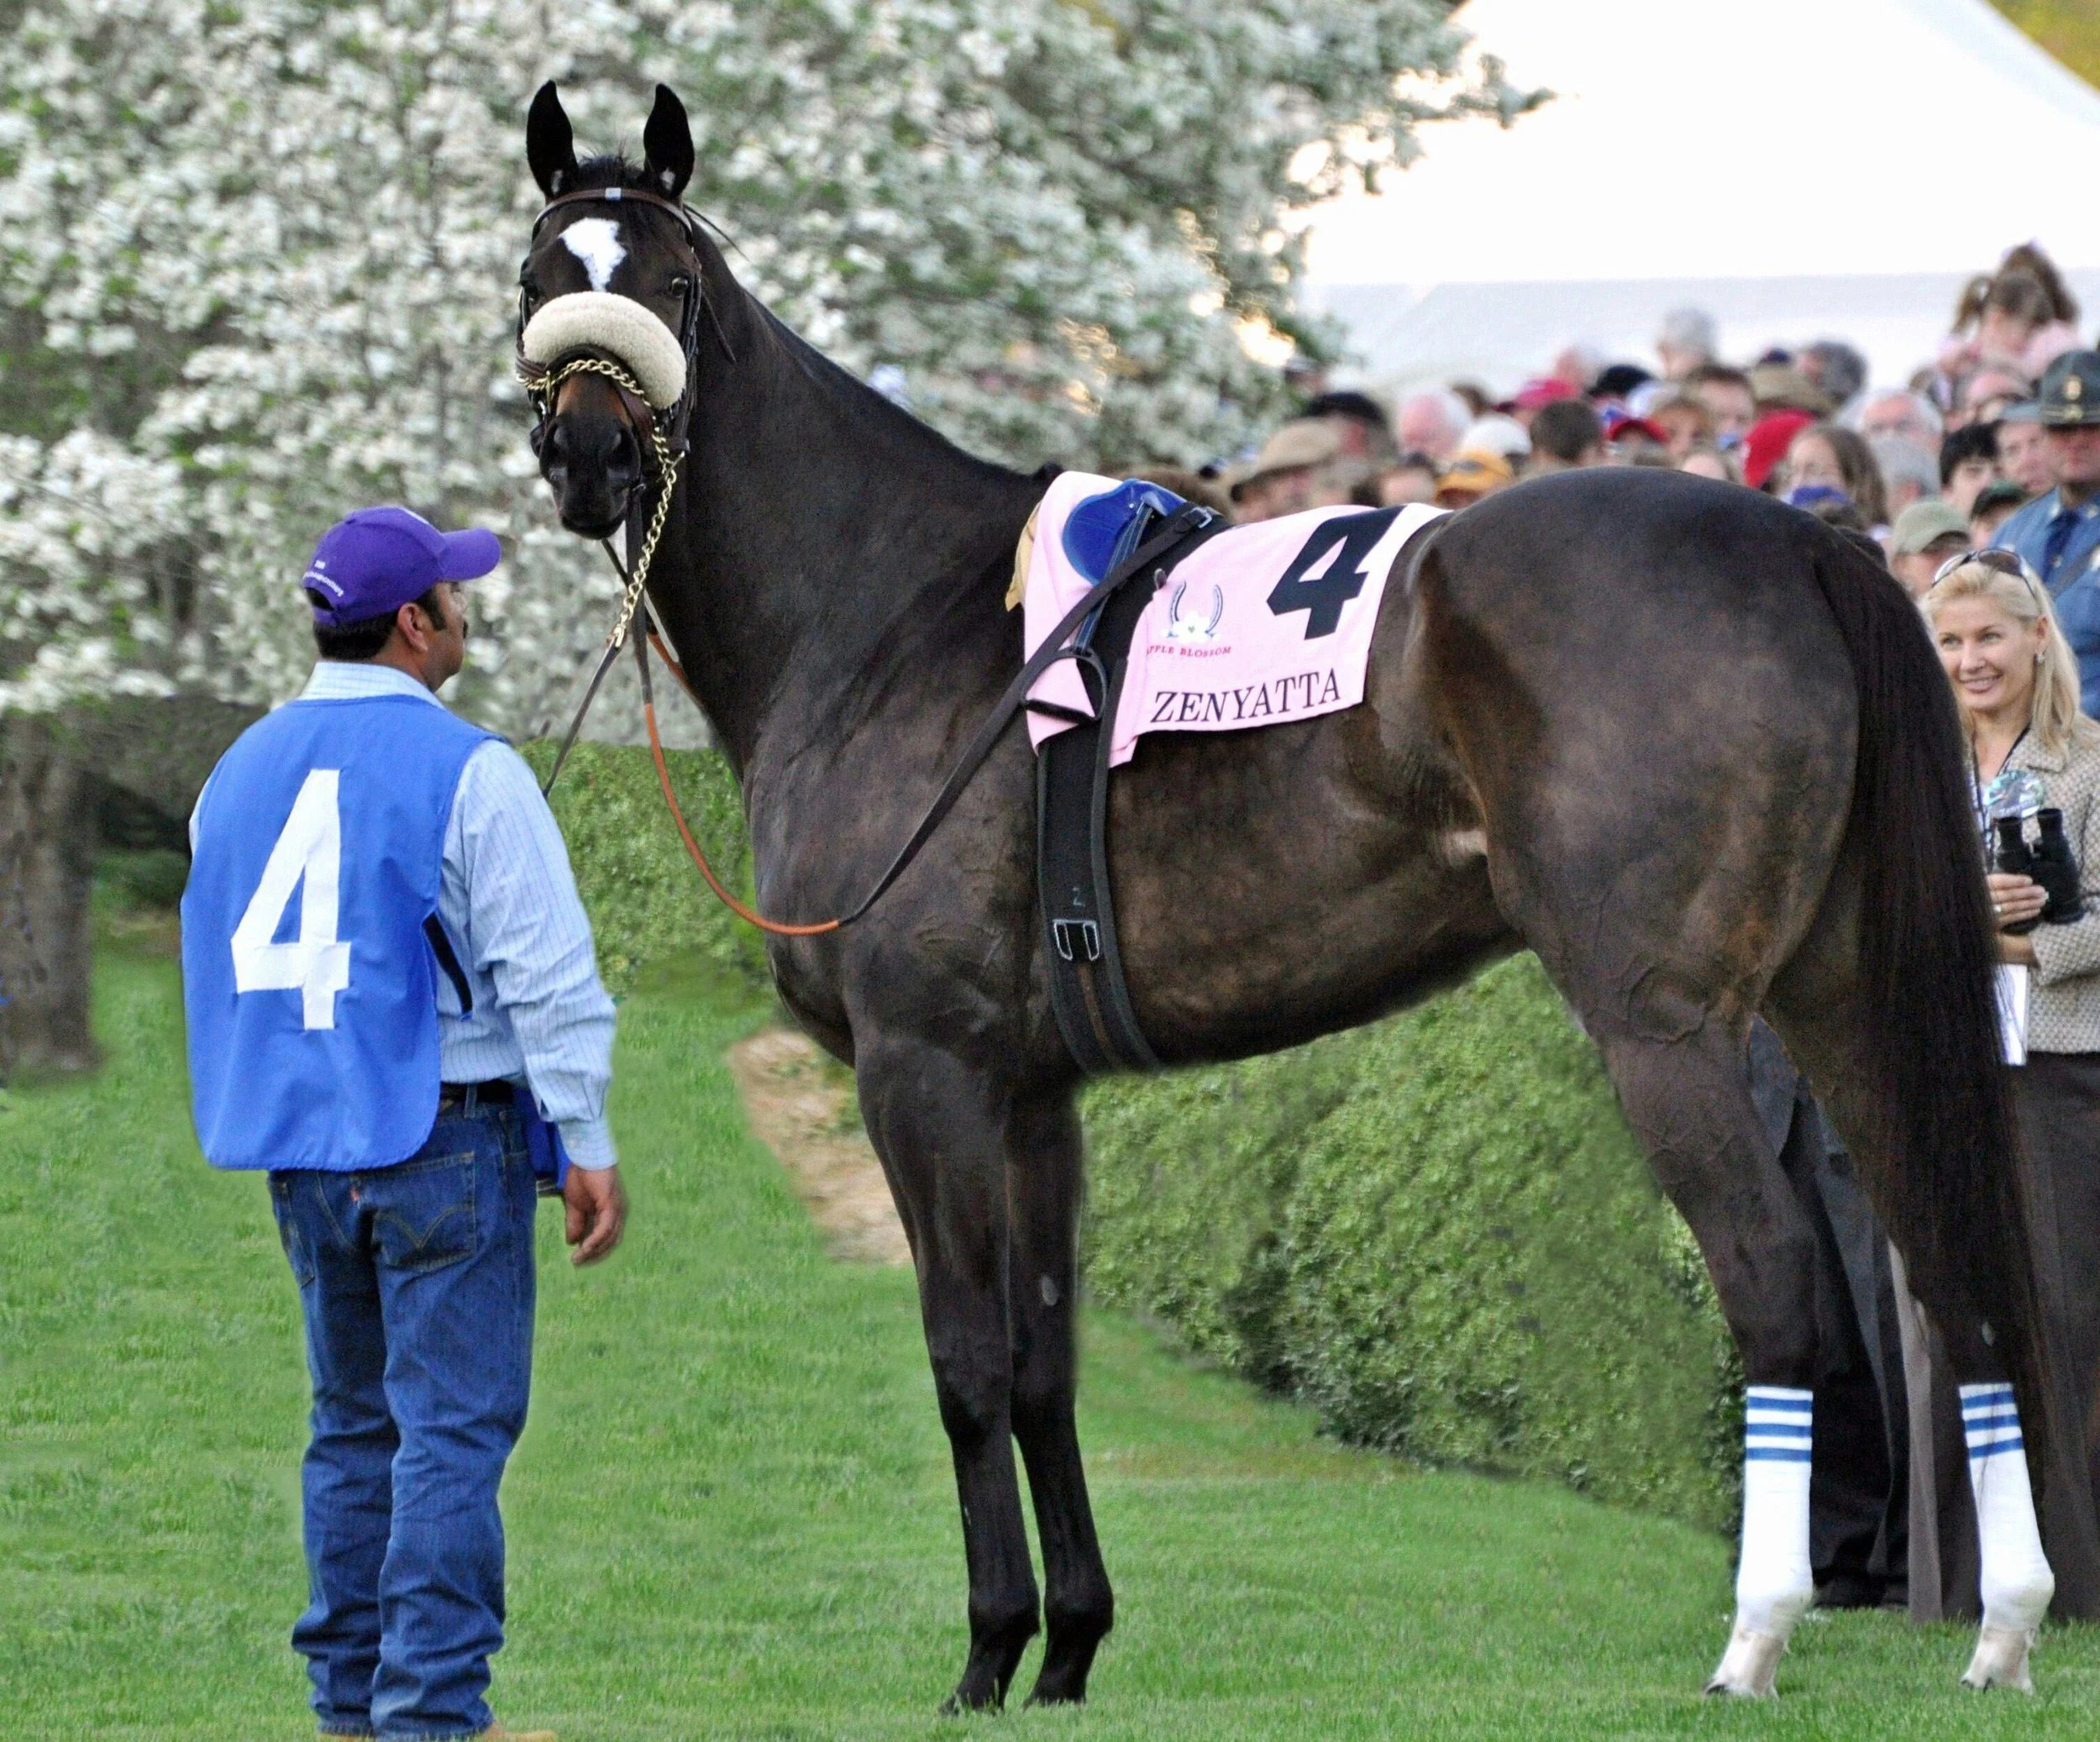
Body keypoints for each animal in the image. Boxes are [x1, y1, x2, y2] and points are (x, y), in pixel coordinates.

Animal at [514, 82, 2096, 1706]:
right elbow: (1042, 1358)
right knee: (1954, 1258)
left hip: (1667, 1025)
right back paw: (2006, 1621)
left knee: (1779, 1284)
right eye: (536, 276)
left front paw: (987, 1648)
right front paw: (1069, 1647)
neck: (898, 619)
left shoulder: (923, 1065)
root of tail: (1803, 539)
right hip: (1846, 993)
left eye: (672, 285)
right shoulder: (1030, 1091)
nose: (587, 450)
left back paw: (1756, 1632)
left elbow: (965, 1359)